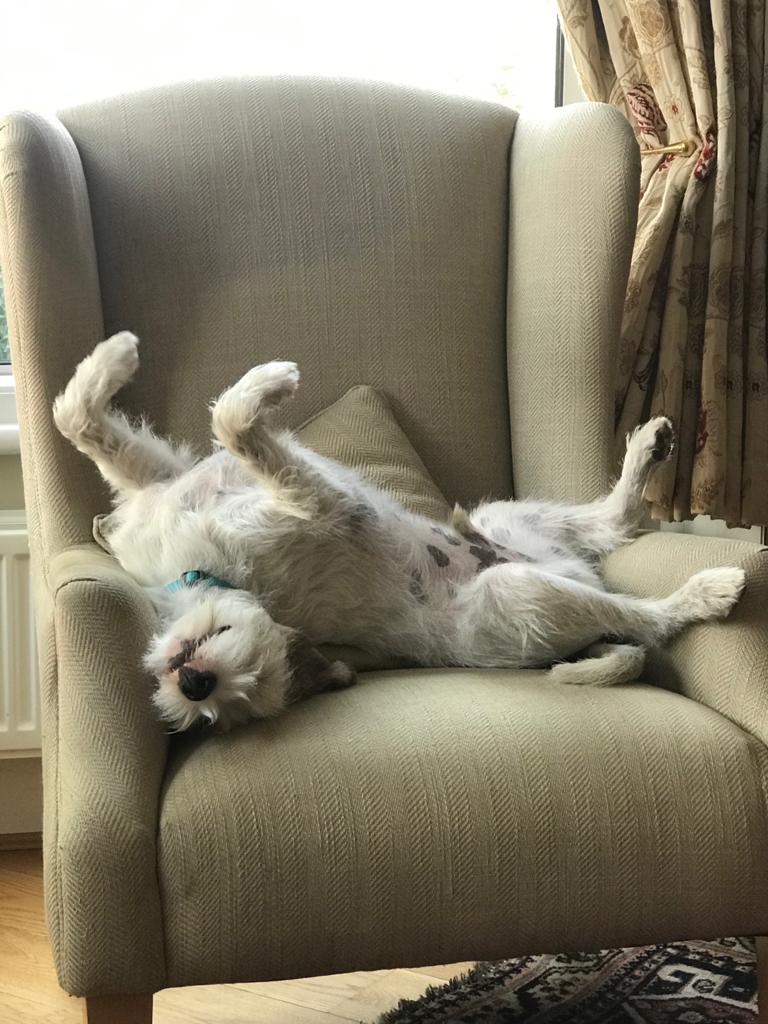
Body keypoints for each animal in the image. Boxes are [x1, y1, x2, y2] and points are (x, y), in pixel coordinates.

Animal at [53, 332, 746, 731]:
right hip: (524, 589)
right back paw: (709, 587)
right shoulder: (307, 500)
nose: (196, 685)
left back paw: (651, 450)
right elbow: (212, 421)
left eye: (245, 685)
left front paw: (117, 353)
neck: (195, 570)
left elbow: (87, 421)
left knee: (620, 533)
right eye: (222, 709)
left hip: (509, 524)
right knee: (644, 612)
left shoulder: (178, 479)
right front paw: (262, 382)